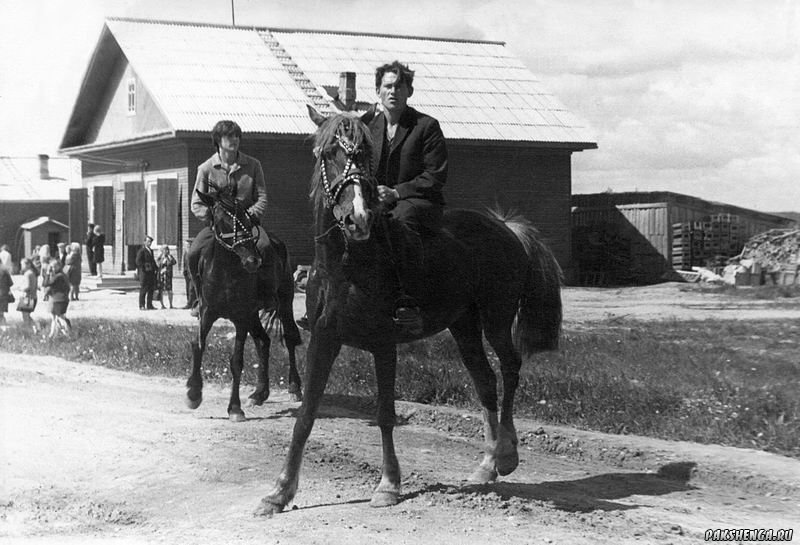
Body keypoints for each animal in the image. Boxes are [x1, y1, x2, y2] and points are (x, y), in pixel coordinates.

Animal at [184, 182, 304, 420]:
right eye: (221, 219)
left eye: (246, 216)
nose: (253, 261)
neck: (226, 271)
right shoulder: (208, 313)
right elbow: (198, 345)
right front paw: (193, 393)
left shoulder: (240, 317)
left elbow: (236, 361)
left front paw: (234, 408)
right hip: (253, 316)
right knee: (263, 342)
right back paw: (259, 393)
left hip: (283, 302)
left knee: (289, 337)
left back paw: (294, 387)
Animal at [256, 108, 564, 512]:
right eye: (327, 154)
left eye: (364, 157)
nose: (358, 219)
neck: (346, 264)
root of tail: (505, 227)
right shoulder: (324, 339)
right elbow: (307, 413)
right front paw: (279, 492)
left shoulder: (384, 344)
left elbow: (385, 414)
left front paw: (388, 484)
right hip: (464, 326)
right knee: (485, 381)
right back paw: (487, 465)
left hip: (495, 319)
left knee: (510, 369)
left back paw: (507, 455)